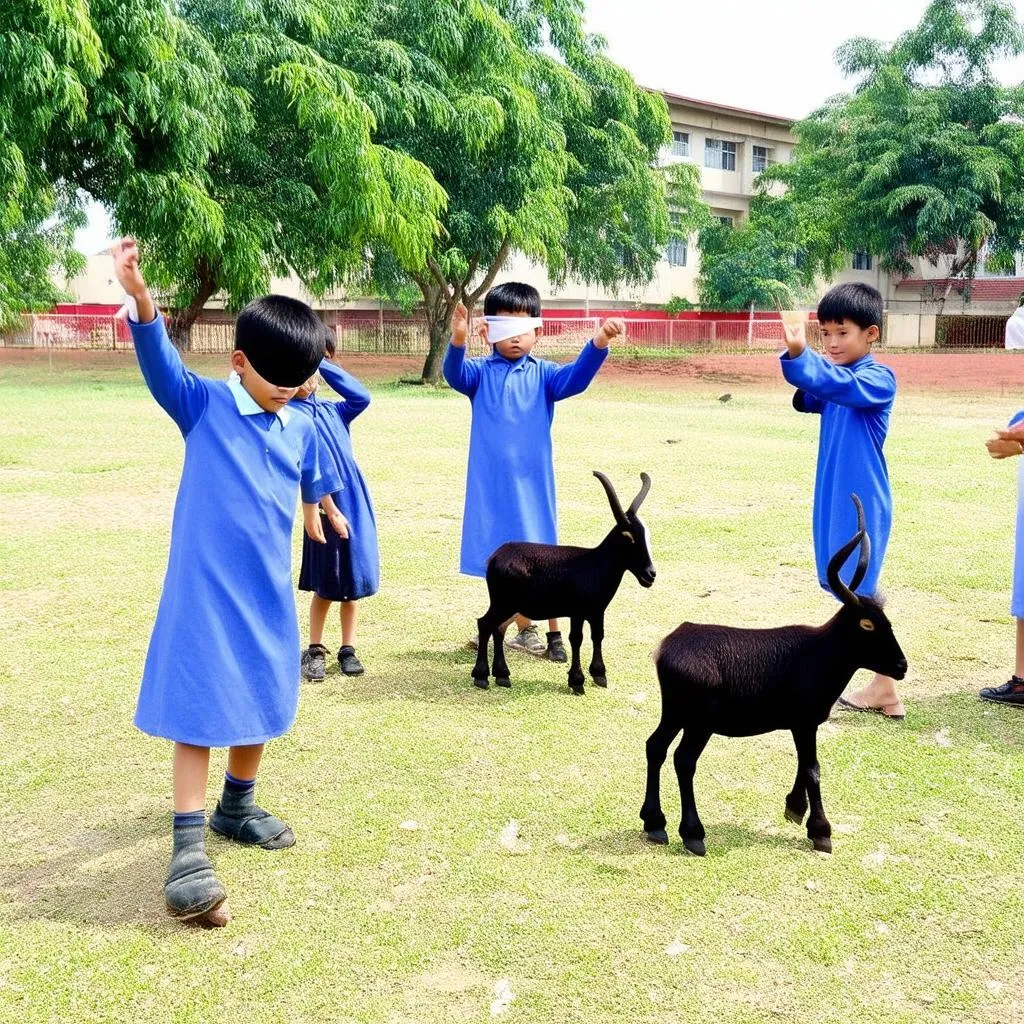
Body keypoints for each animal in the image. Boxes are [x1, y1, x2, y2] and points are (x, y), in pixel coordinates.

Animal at [471, 473, 655, 696]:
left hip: (509, 605)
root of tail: (495, 557)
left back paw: (502, 676)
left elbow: (598, 636)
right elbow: (576, 638)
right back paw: (481, 677)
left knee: (499, 628)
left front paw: (599, 675)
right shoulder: (577, 611)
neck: (595, 564)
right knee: (485, 623)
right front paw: (577, 682)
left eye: (646, 535)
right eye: (628, 537)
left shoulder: (597, 611)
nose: (651, 574)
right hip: (503, 602)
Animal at [643, 495, 909, 856]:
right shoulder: (805, 720)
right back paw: (693, 834)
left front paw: (795, 808)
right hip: (700, 721)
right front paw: (821, 831)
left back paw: (654, 824)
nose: (902, 666)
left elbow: (804, 764)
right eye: (867, 624)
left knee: (655, 746)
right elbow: (812, 768)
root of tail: (666, 647)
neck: (819, 653)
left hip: (674, 711)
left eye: (886, 620)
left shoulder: (802, 723)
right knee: (684, 760)